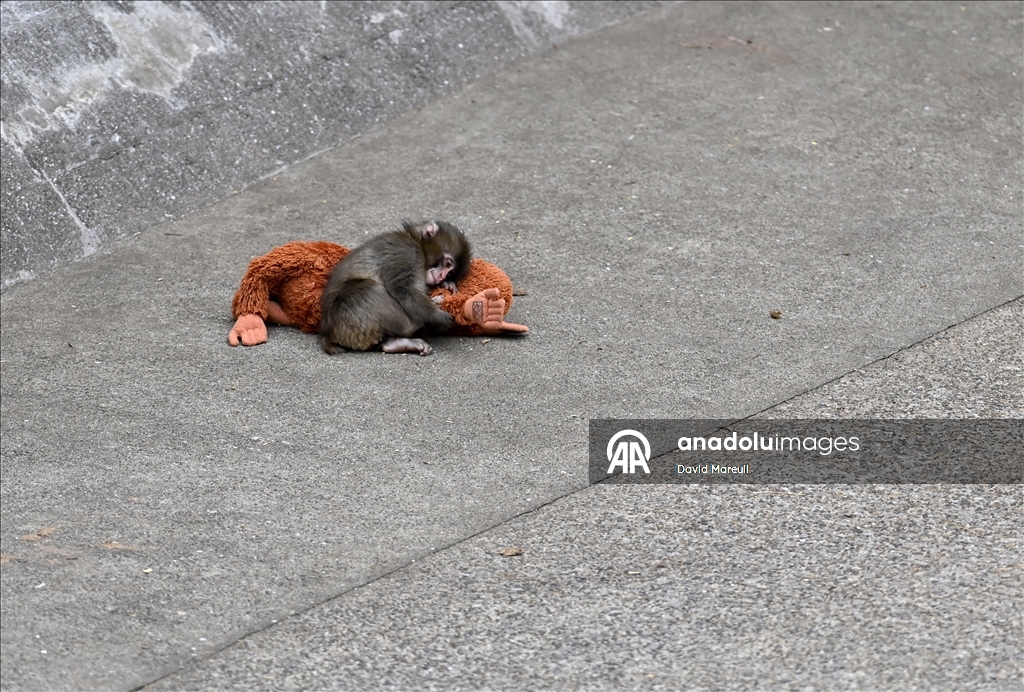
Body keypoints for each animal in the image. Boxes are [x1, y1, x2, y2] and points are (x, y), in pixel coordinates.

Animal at [319, 221, 472, 356]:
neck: (415, 241)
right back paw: (416, 324)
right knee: (370, 289)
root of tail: (329, 333)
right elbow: (402, 288)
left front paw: (447, 285)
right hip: (349, 319)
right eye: (447, 264)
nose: (441, 276)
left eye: (450, 272)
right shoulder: (406, 251)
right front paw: (436, 315)